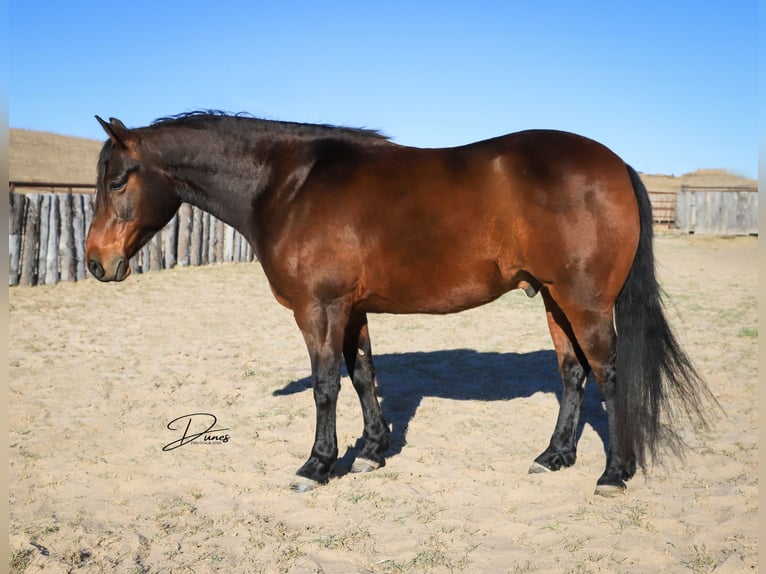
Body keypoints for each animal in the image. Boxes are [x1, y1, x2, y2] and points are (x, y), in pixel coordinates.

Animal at [85, 111, 714, 496]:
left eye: (117, 181)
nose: (95, 262)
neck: (289, 185)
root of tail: (615, 164)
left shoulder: (319, 309)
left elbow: (325, 386)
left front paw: (318, 465)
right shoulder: (352, 309)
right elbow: (364, 375)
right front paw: (371, 451)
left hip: (584, 301)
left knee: (608, 374)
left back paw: (615, 472)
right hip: (555, 301)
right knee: (572, 374)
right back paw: (554, 455)